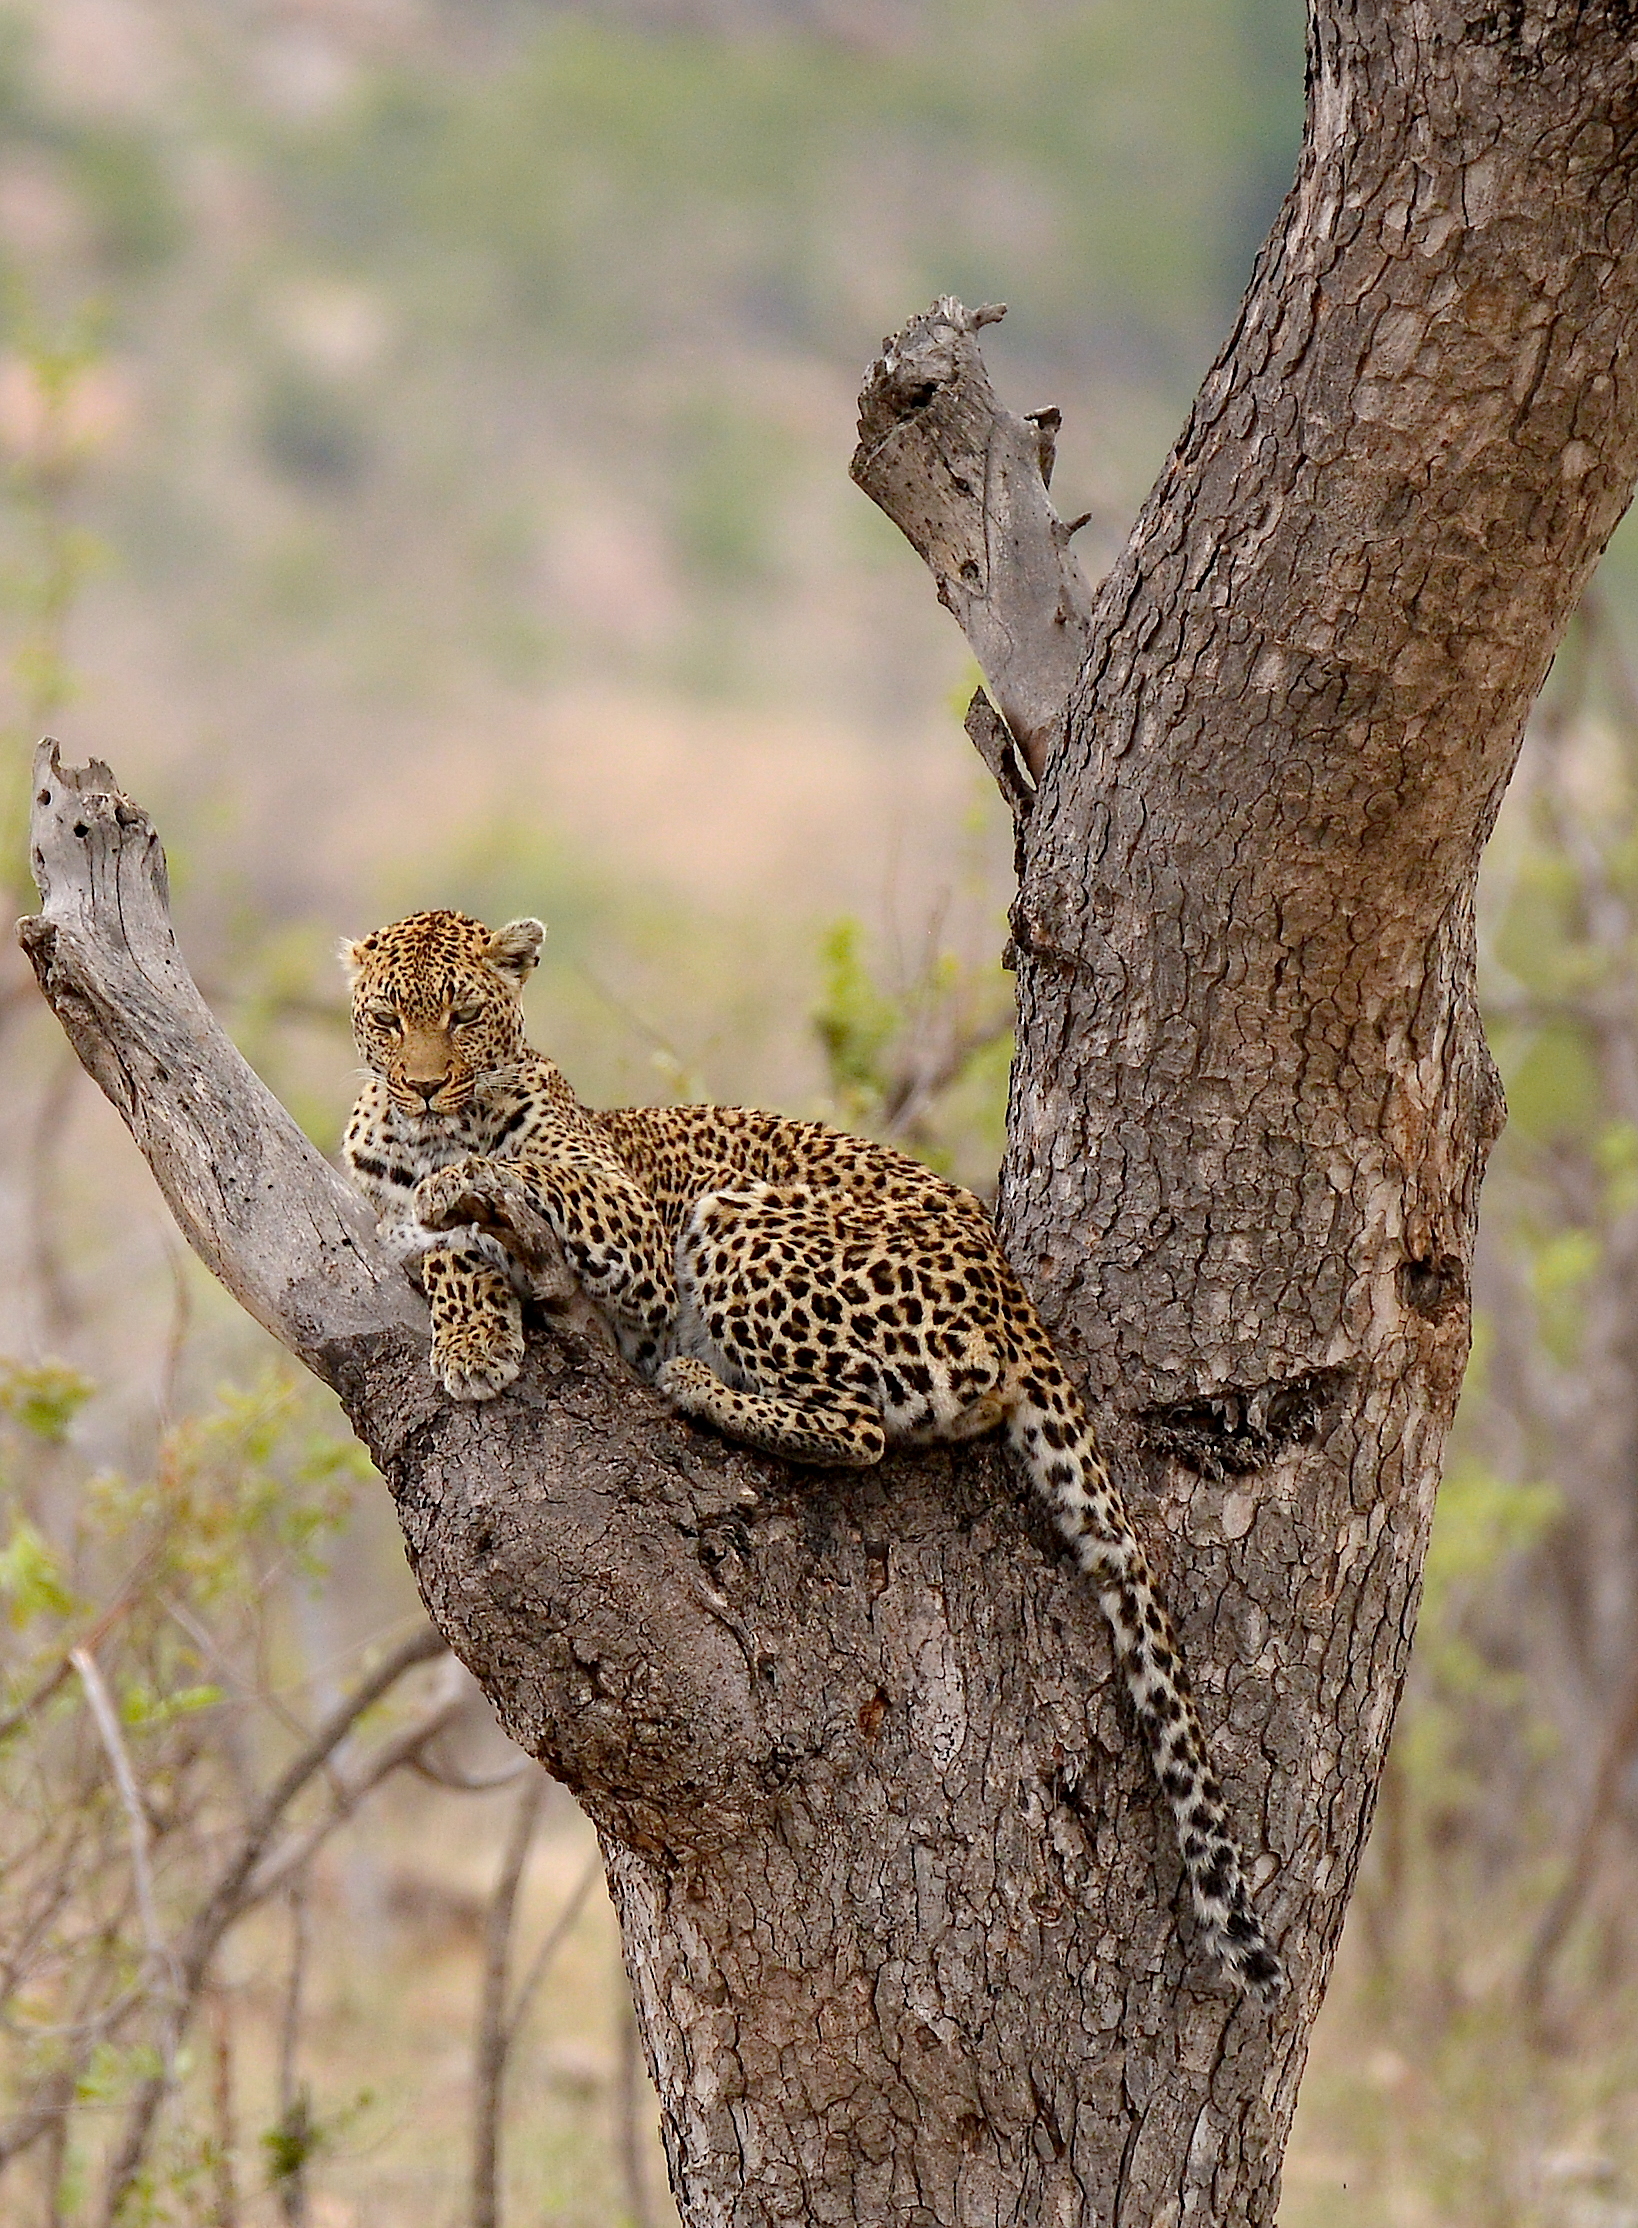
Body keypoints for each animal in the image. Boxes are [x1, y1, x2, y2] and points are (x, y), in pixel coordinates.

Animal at [345, 904, 1283, 2005]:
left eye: (462, 1014)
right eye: (386, 1018)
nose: (423, 1084)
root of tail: (1012, 1290)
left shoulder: (632, 1235)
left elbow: (526, 1178)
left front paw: (470, 1216)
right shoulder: (389, 1223)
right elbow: (445, 1247)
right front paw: (471, 1334)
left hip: (740, 1219)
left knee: (861, 1426)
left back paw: (696, 1383)